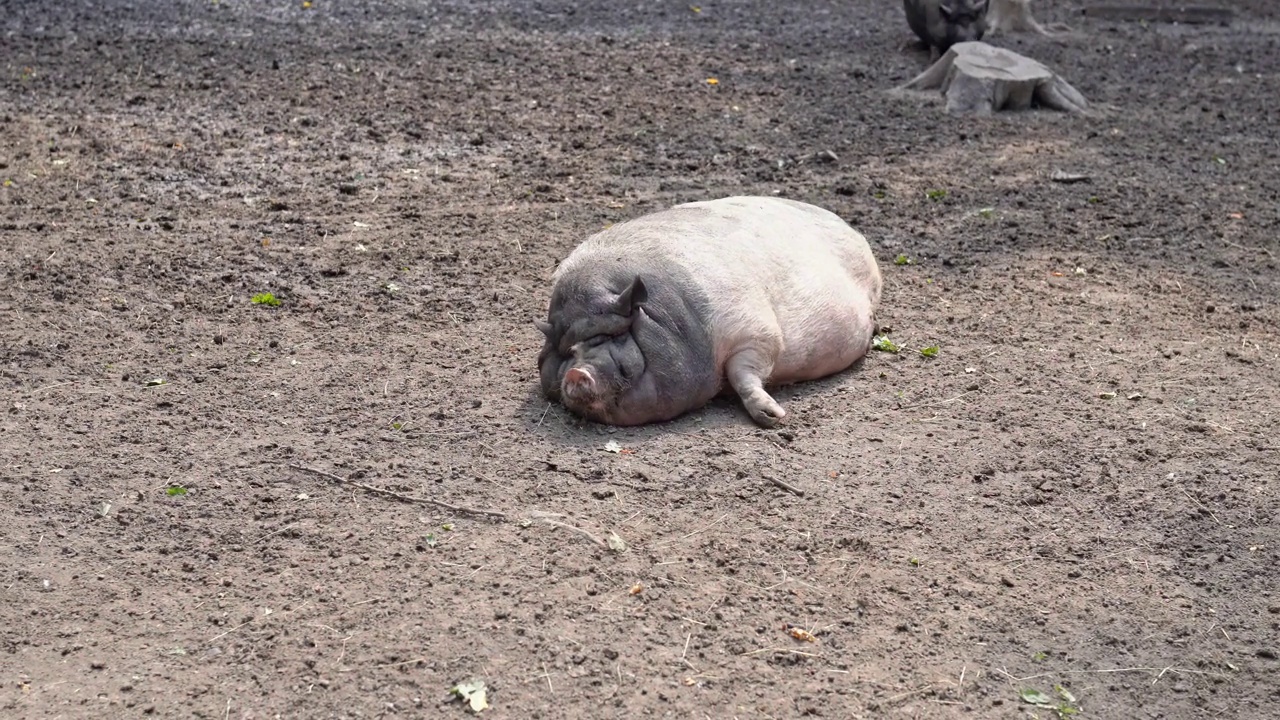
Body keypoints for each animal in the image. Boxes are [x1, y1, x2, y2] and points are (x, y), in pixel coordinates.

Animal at [532, 194, 880, 425]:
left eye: (613, 338)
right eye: (570, 352)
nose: (576, 373)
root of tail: (851, 229)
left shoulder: (757, 331)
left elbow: (746, 372)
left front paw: (774, 417)